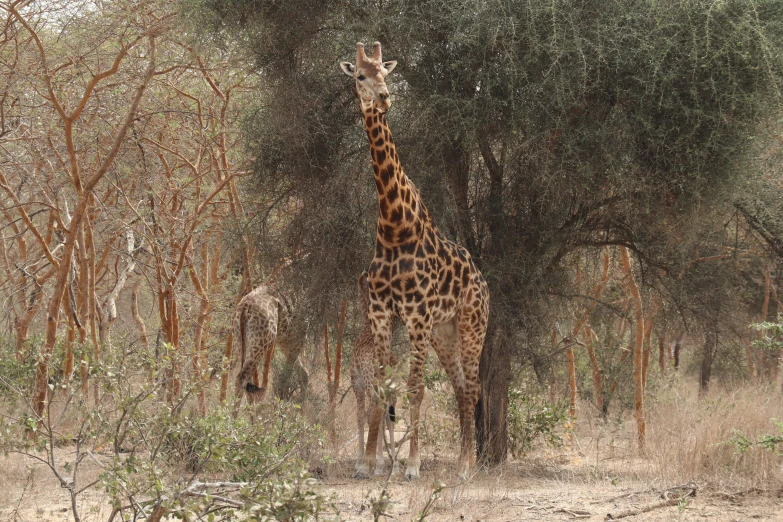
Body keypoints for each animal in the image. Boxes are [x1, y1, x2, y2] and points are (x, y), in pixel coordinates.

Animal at [338, 42, 486, 478]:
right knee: (460, 387)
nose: (385, 97)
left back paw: (466, 467)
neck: (393, 226)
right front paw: (369, 463)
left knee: (473, 388)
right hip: (444, 332)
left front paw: (413, 466)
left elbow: (415, 389)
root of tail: (484, 281)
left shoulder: (417, 313)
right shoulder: (382, 311)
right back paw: (461, 463)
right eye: (360, 76)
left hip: (471, 326)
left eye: (385, 73)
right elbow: (382, 385)